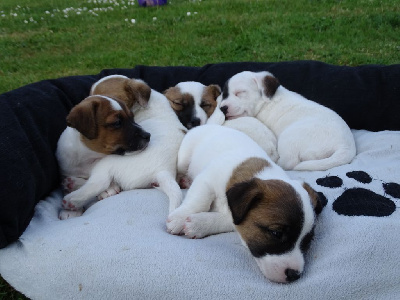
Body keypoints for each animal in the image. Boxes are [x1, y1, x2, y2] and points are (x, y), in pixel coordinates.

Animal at [167, 124, 324, 284]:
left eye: (308, 239)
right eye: (276, 233)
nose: (294, 275)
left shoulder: (235, 214)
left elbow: (227, 220)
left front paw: (199, 224)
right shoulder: (206, 180)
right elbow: (200, 201)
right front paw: (179, 218)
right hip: (184, 158)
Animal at [219, 69, 356, 170]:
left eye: (239, 92)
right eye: (225, 94)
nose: (222, 108)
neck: (265, 103)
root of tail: (346, 147)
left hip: (288, 139)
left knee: (288, 162)